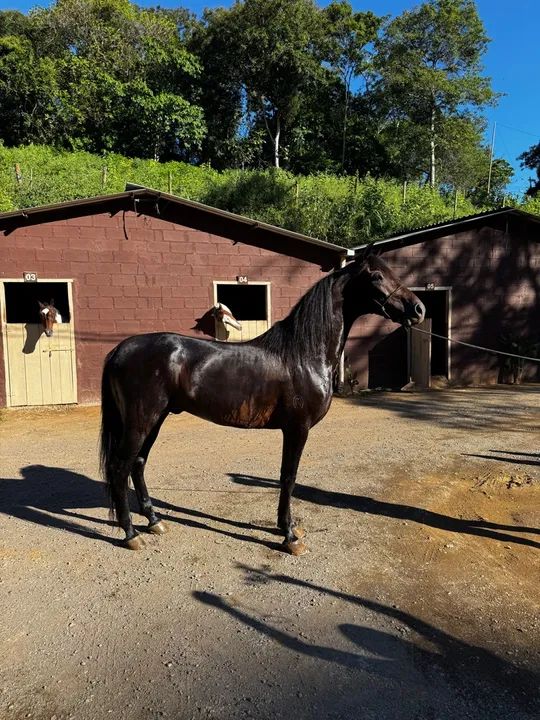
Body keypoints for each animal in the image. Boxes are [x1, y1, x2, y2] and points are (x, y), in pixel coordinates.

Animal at [100, 254, 425, 554]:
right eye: (376, 275)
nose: (419, 309)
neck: (303, 355)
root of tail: (120, 349)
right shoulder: (297, 429)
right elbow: (288, 478)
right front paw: (289, 536)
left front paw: (287, 528)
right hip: (142, 420)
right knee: (119, 467)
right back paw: (131, 534)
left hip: (156, 418)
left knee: (138, 464)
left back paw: (155, 521)